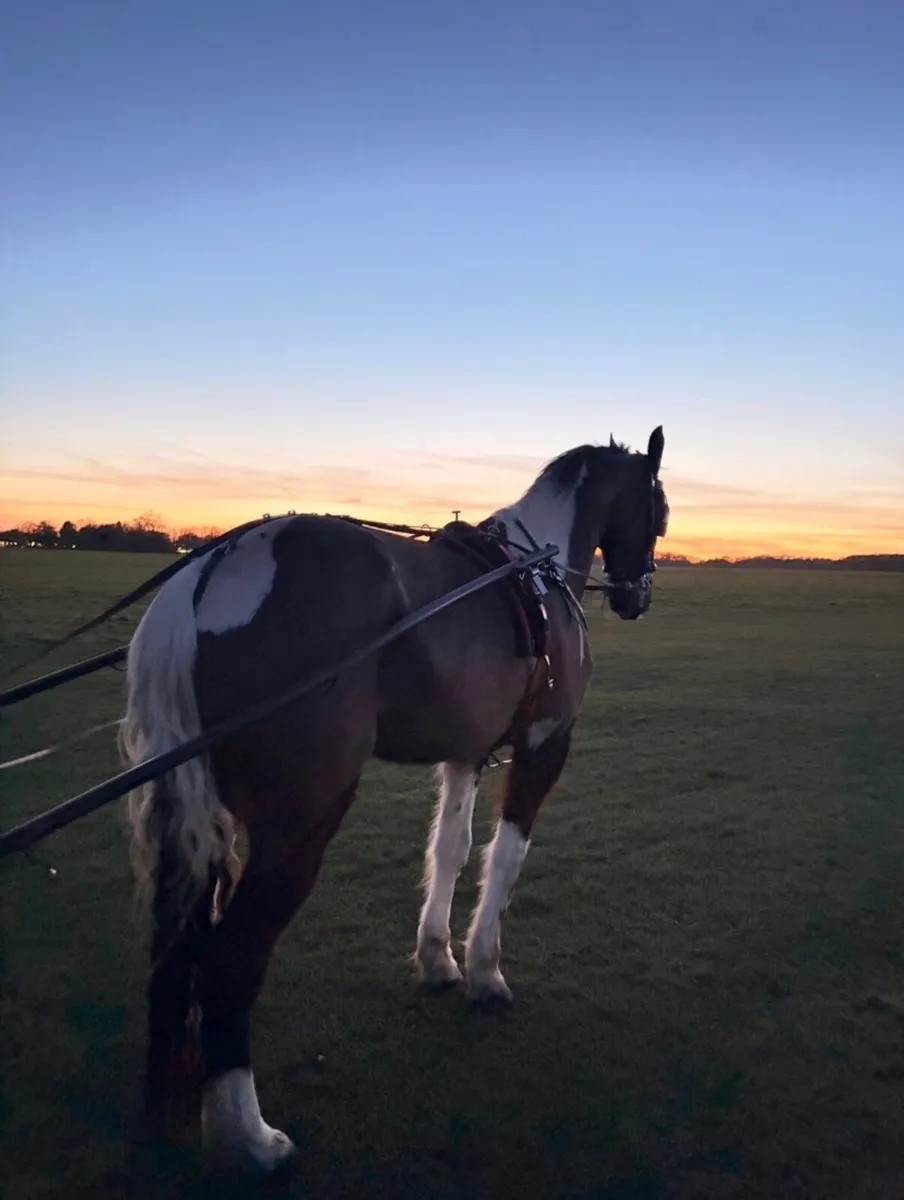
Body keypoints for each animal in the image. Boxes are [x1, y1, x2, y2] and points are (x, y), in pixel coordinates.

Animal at [120, 426, 669, 1174]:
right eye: (659, 509)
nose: (638, 593)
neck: (539, 571)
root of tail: (210, 571)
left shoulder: (467, 752)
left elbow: (450, 851)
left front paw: (438, 958)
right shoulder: (543, 746)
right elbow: (504, 860)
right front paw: (485, 972)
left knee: (179, 944)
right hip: (299, 825)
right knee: (231, 957)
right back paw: (248, 1135)